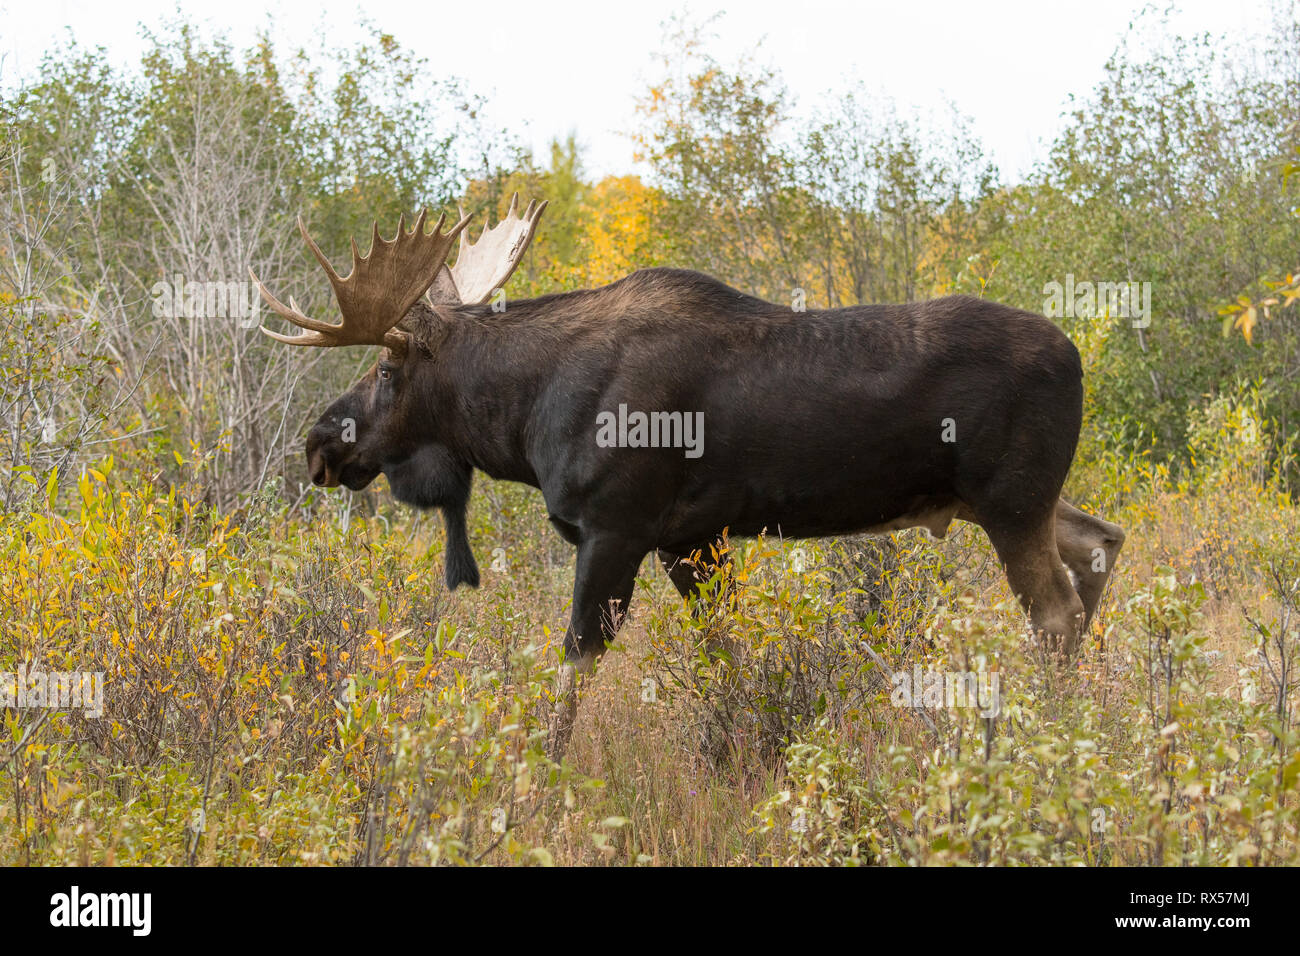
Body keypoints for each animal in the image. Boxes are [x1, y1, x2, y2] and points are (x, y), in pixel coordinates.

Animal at [253, 200, 1128, 754]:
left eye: (386, 371)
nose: (317, 444)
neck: (524, 420)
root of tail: (1078, 358)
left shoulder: (616, 528)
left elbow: (574, 666)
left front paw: (535, 780)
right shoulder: (691, 539)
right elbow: (723, 654)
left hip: (1009, 500)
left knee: (1055, 609)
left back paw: (1055, 733)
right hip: (1007, 501)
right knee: (1102, 541)